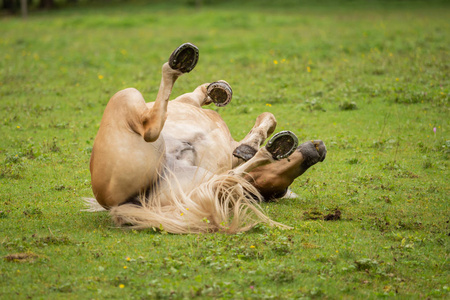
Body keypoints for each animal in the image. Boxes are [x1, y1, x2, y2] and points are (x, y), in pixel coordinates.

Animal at [86, 42, 326, 234]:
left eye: (280, 190)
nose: (319, 149)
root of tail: (122, 204)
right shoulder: (189, 103)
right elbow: (262, 116)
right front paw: (219, 91)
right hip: (128, 96)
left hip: (128, 101)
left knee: (152, 129)